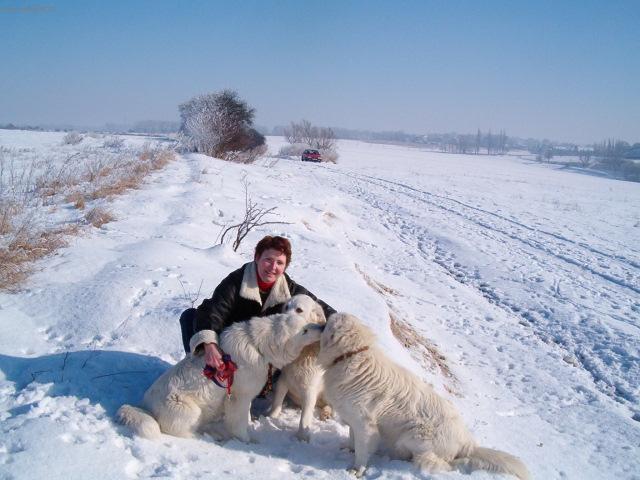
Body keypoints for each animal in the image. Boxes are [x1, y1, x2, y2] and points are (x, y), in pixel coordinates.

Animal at [116, 294, 324, 440]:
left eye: (308, 323)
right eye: (305, 330)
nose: (322, 328)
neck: (257, 345)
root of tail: (143, 407)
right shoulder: (240, 397)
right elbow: (240, 424)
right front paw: (247, 440)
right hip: (191, 411)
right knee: (182, 433)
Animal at [318, 314, 528, 478]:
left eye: (329, 321)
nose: (322, 315)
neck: (350, 356)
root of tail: (467, 441)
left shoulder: (365, 424)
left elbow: (362, 451)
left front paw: (357, 470)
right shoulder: (353, 418)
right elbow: (353, 439)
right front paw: (349, 449)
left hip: (414, 436)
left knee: (441, 463)